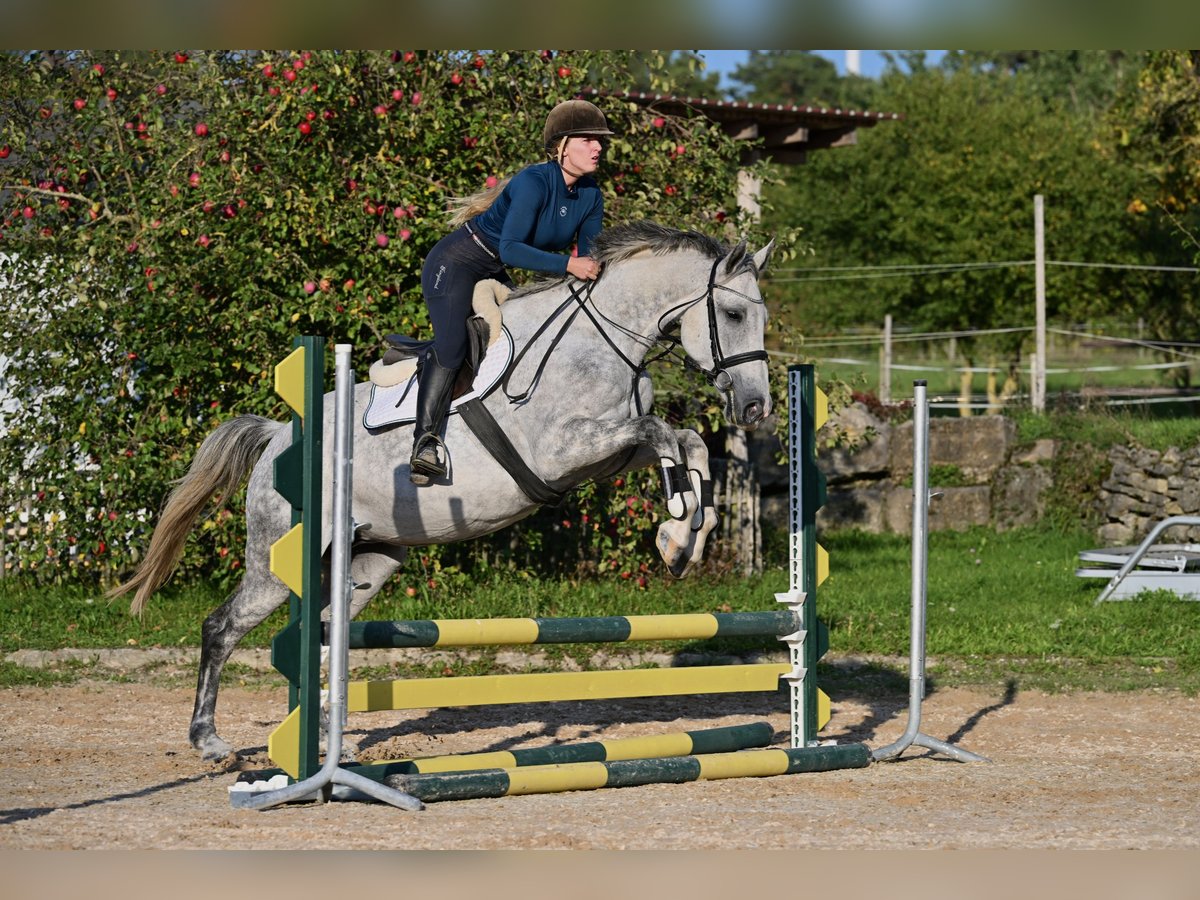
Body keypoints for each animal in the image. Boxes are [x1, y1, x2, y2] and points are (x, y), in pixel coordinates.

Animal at [110, 221, 775, 761]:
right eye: (734, 315)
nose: (756, 407)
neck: (601, 342)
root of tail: (277, 436)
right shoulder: (564, 451)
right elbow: (662, 432)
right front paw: (676, 525)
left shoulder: (604, 453)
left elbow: (685, 441)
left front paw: (683, 540)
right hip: (278, 562)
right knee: (222, 627)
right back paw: (210, 742)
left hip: (370, 561)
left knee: (321, 632)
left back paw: (324, 738)